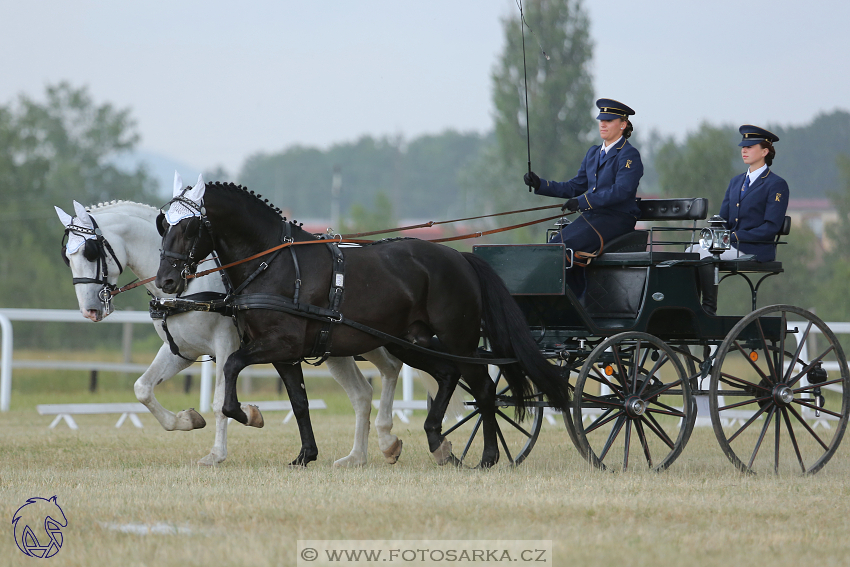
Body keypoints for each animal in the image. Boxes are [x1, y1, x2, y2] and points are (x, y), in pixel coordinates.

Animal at [54, 197, 450, 468]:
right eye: (66, 257)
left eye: (91, 252)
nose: (90, 310)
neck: (192, 283)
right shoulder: (182, 350)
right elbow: (143, 389)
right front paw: (187, 420)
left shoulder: (226, 344)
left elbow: (219, 399)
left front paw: (221, 447)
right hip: (340, 345)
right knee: (365, 391)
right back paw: (362, 454)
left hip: (372, 338)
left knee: (392, 371)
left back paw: (391, 440)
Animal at [156, 184, 568, 468]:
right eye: (164, 226)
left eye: (191, 228)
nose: (166, 282)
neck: (273, 264)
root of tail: (460, 258)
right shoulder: (284, 355)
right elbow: (299, 401)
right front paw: (305, 455)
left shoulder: (281, 344)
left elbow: (231, 367)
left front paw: (249, 414)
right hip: (411, 341)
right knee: (448, 376)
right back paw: (438, 443)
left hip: (458, 340)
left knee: (483, 390)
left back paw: (485, 456)